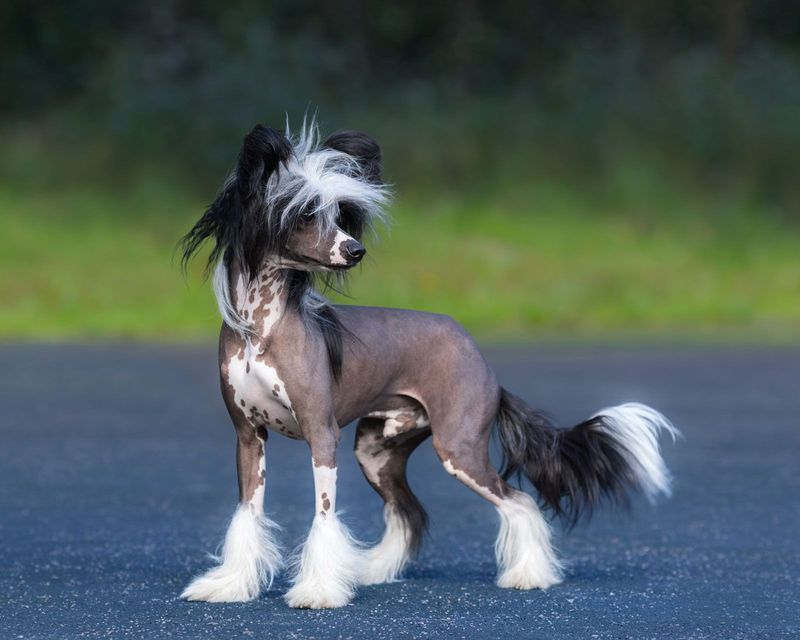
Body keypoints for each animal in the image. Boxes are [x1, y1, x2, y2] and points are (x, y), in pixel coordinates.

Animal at [178, 121, 680, 608]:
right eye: (304, 214)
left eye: (339, 215)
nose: (355, 250)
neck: (260, 330)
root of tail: (483, 362)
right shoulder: (249, 436)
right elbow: (247, 514)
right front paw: (230, 585)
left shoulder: (321, 435)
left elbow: (323, 517)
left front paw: (318, 591)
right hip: (378, 450)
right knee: (408, 511)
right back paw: (375, 570)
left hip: (458, 446)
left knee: (519, 502)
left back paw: (528, 575)